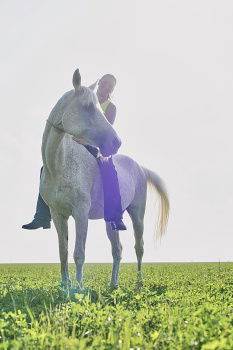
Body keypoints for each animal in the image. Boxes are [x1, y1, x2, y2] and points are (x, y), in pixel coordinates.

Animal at [39, 69, 168, 288]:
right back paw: (113, 284)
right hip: (112, 219)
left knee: (139, 247)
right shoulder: (58, 214)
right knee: (117, 249)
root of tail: (140, 168)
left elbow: (79, 253)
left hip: (137, 213)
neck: (59, 166)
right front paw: (65, 286)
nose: (117, 142)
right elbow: (63, 251)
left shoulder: (81, 212)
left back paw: (138, 284)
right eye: (88, 107)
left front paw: (79, 288)